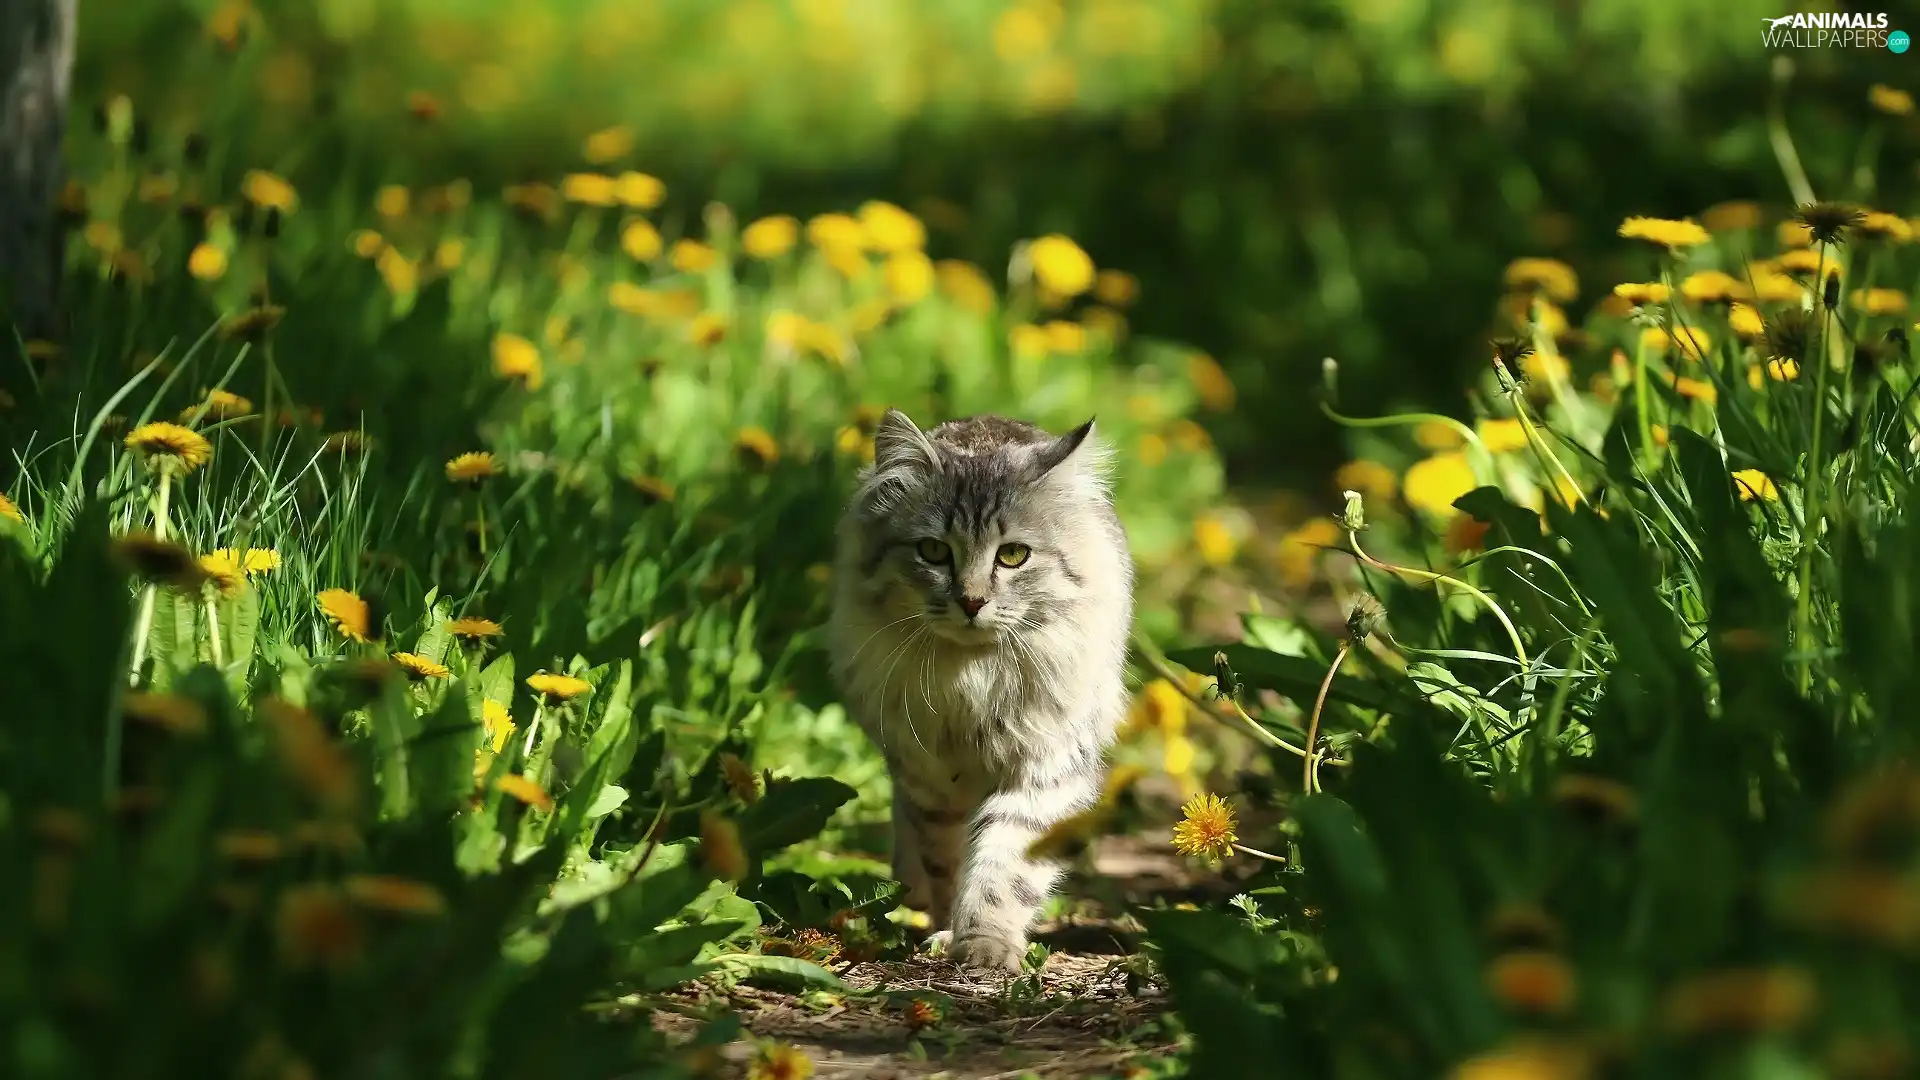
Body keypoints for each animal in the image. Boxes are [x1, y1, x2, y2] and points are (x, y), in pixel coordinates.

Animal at [829, 407, 1128, 972]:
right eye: (932, 551)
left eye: (1013, 555)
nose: (971, 601)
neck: (974, 679)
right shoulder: (928, 779)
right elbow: (945, 862)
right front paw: (947, 931)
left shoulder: (1044, 769)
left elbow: (1003, 867)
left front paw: (986, 945)